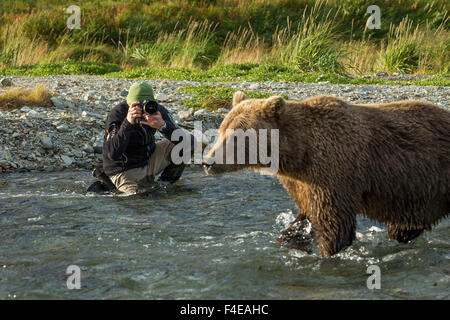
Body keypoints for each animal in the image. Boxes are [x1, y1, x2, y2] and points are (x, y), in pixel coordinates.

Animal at [204, 91, 450, 256]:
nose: (208, 161)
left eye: (236, 136)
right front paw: (290, 240)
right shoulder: (301, 183)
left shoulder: (333, 171)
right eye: (222, 130)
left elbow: (333, 223)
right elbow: (303, 219)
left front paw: (328, 252)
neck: (299, 153)